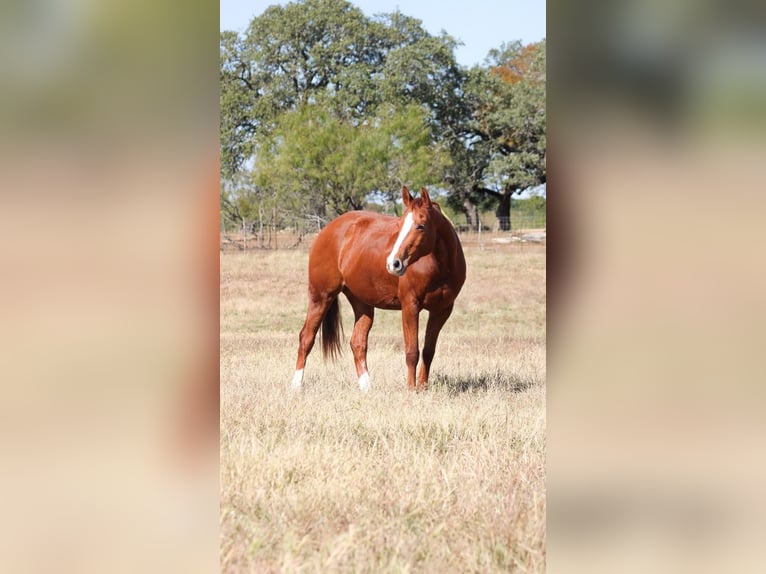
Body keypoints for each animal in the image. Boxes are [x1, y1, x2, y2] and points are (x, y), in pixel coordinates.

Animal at [291, 186, 466, 392]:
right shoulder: (410, 306)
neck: (439, 266)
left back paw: (367, 388)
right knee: (306, 338)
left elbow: (428, 351)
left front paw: (423, 388)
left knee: (357, 342)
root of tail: (328, 229)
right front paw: (411, 389)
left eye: (421, 226)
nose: (394, 263)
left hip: (362, 303)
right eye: (399, 225)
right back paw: (296, 386)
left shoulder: (442, 310)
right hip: (321, 296)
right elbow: (412, 351)